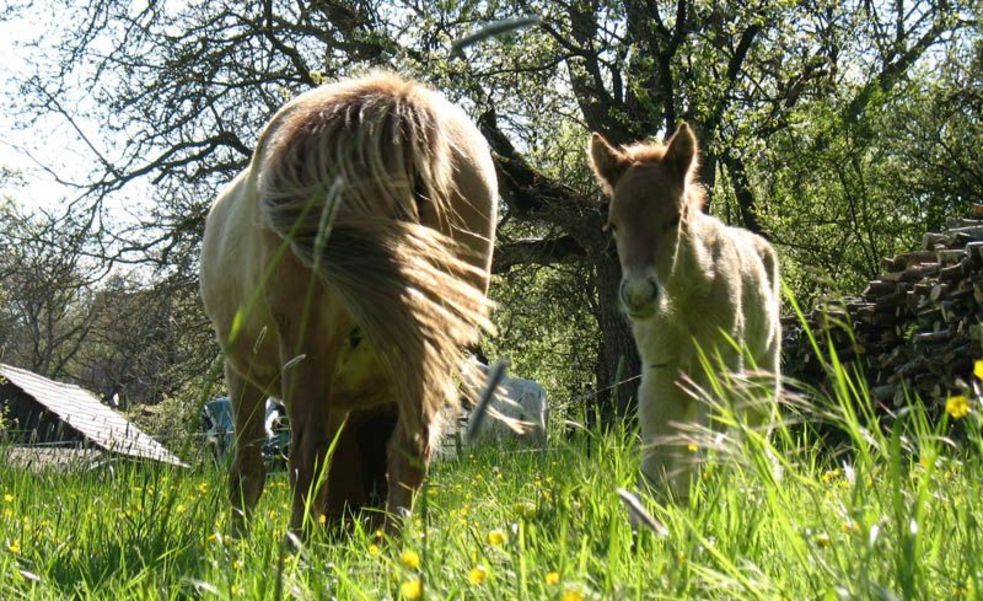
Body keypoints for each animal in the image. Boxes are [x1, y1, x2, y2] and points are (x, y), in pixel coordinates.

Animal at [205, 71, 504, 536]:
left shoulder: (243, 375)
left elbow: (249, 469)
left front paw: (237, 540)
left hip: (305, 346)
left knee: (305, 455)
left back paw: (295, 544)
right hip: (424, 350)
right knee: (407, 451)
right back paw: (396, 544)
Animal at [588, 124, 780, 500]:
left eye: (674, 218)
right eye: (613, 224)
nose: (638, 295)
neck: (683, 309)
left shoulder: (720, 371)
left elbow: (713, 440)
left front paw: (710, 498)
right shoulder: (659, 373)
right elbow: (660, 449)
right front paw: (664, 506)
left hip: (763, 371)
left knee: (754, 433)